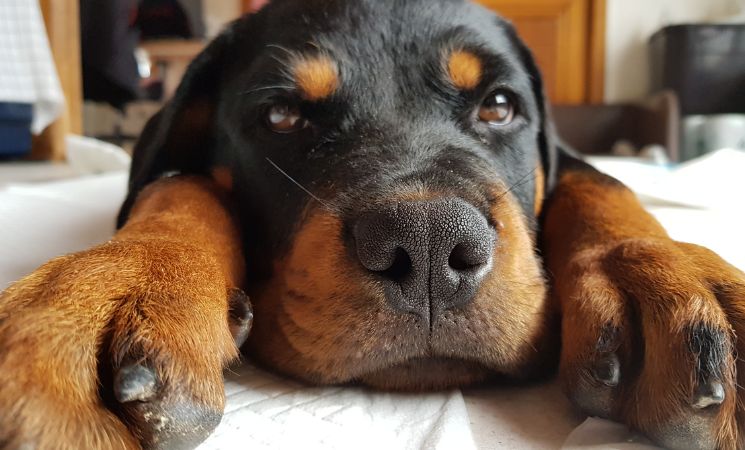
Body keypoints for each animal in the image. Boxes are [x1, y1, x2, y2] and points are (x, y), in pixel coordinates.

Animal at [1, 0, 744, 450]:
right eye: (281, 117)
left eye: (499, 105)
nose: (428, 242)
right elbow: (179, 185)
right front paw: (107, 286)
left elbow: (599, 181)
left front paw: (659, 268)